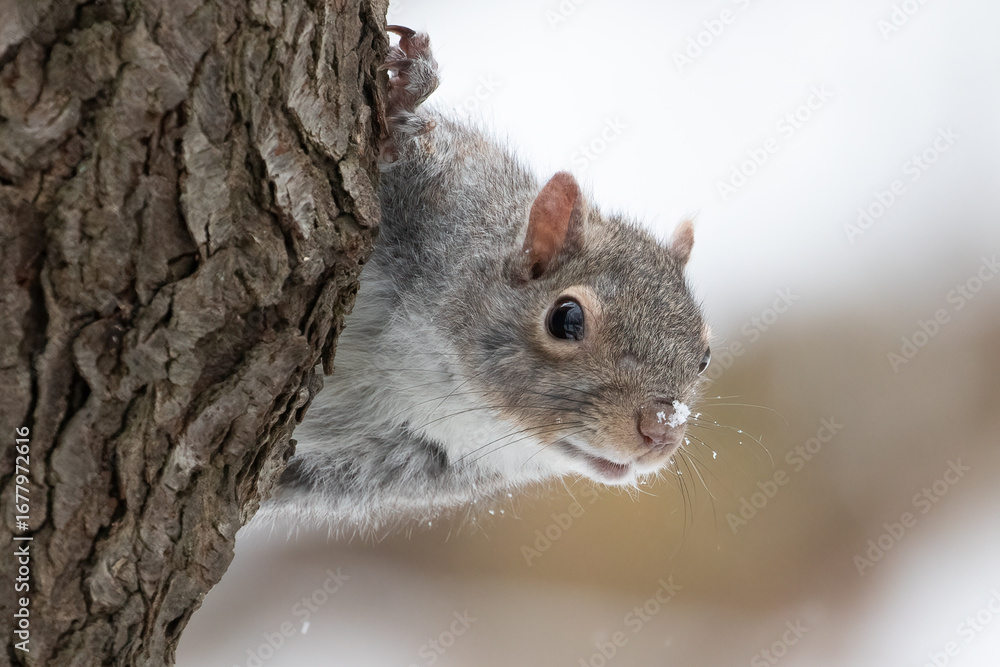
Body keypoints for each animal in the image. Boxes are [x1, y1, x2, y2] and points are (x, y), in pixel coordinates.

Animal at [263, 26, 712, 532]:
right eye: (567, 319)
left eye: (704, 358)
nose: (662, 430)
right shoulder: (444, 187)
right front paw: (404, 98)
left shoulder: (385, 463)